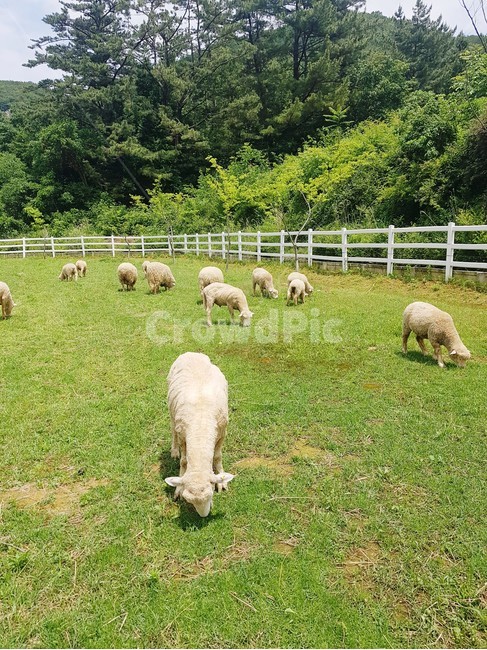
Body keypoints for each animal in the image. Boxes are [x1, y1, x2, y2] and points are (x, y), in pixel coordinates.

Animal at [164, 352, 235, 517]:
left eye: (211, 493)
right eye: (188, 499)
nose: (204, 515)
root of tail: (191, 353)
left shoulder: (223, 431)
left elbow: (217, 456)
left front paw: (222, 480)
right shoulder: (183, 435)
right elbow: (184, 461)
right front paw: (178, 488)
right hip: (172, 413)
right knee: (172, 429)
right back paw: (174, 451)